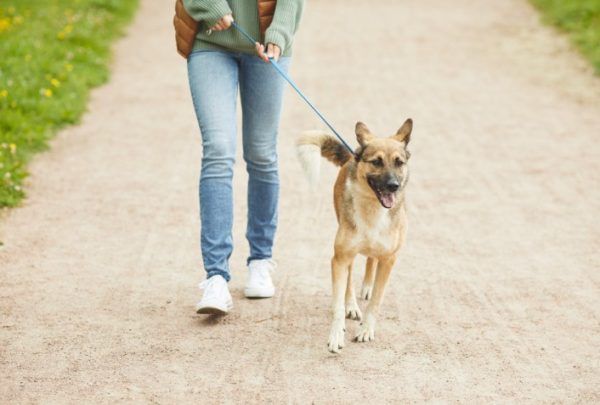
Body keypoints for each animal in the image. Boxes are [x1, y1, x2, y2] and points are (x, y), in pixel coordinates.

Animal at [296, 118, 412, 352]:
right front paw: (336, 335)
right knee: (350, 278)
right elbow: (338, 303)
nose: (393, 186)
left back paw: (367, 286)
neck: (374, 209)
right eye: (376, 162)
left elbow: (376, 301)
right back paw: (352, 304)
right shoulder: (340, 258)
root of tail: (353, 154)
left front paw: (366, 329)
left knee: (371, 260)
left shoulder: (389, 260)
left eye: (399, 162)